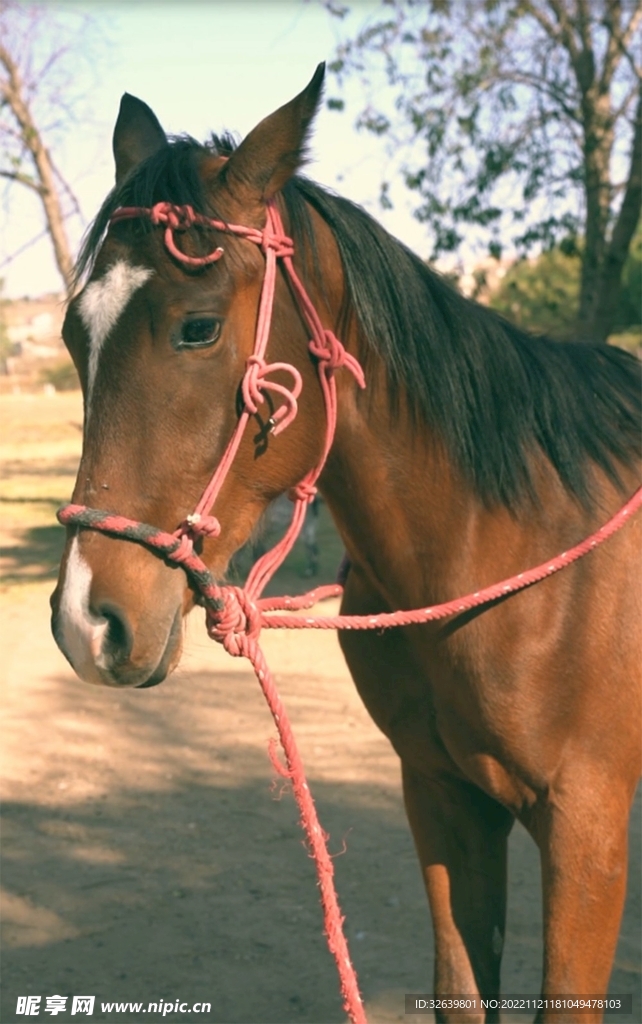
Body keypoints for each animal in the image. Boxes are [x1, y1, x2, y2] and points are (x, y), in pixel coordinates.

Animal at [50, 65, 641, 1023]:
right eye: (75, 333)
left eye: (198, 327)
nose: (85, 621)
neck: (505, 550)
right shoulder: (442, 796)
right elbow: (460, 990)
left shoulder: (585, 822)